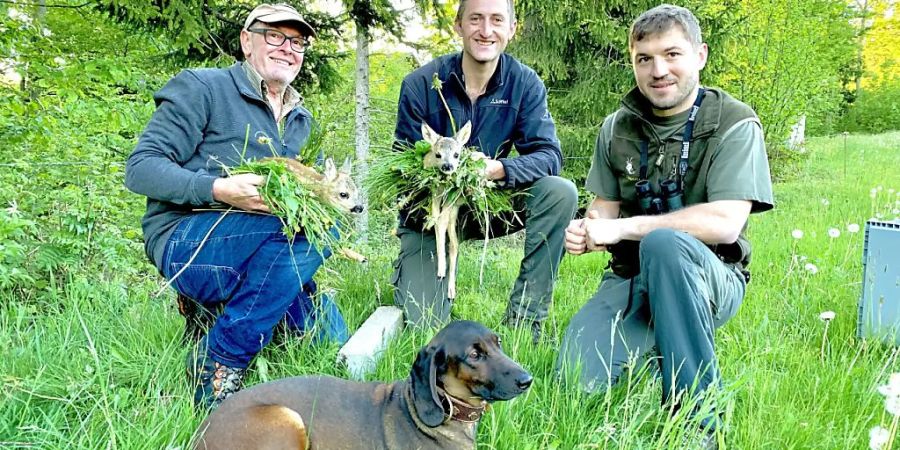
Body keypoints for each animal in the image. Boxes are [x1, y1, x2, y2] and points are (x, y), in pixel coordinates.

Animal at [420, 121, 474, 300]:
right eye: (438, 154)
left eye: (457, 154)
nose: (448, 166)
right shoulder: (435, 191)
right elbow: (436, 219)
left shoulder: (453, 195)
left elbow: (441, 221)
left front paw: (441, 269)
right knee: (453, 241)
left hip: (456, 203)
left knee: (454, 244)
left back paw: (451, 290)